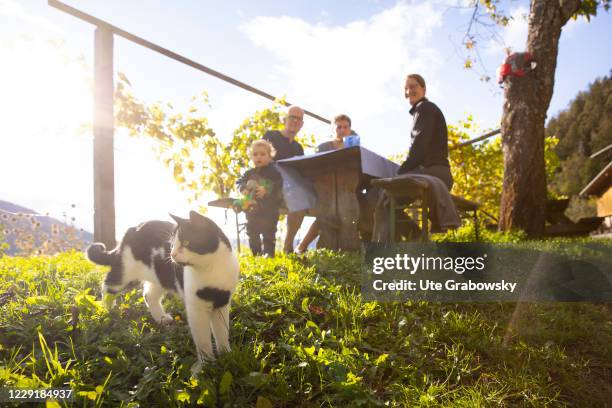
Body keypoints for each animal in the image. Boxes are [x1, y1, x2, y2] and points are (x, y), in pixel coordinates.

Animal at [86, 210, 239, 370]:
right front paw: (207, 364)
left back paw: (161, 318)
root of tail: (133, 228)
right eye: (172, 244)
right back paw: (109, 310)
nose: (172, 254)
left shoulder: (222, 302)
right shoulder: (196, 308)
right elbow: (203, 340)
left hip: (159, 278)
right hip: (126, 273)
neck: (211, 269)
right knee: (107, 285)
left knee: (148, 295)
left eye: (186, 243)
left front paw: (226, 354)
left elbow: (222, 332)